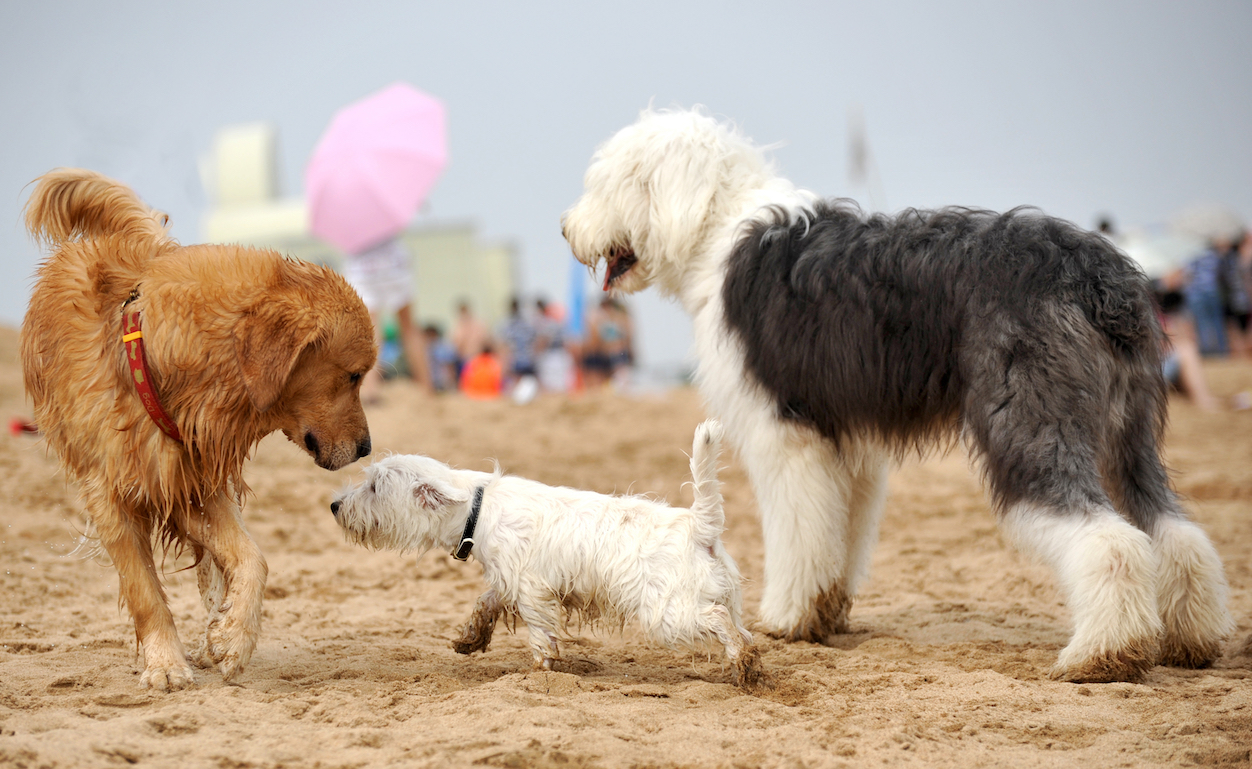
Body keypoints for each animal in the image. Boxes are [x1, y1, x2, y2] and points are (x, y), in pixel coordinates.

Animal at [22, 169, 375, 691]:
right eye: (353, 376)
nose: (367, 447)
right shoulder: (118, 492)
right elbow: (145, 590)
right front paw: (166, 663)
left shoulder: (190, 479)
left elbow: (252, 558)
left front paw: (232, 636)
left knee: (215, 560)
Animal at [330, 420, 761, 686]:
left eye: (375, 487)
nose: (335, 506)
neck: (478, 509)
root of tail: (699, 525)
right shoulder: (507, 578)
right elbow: (485, 603)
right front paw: (470, 639)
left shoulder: (531, 589)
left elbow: (540, 634)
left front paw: (538, 671)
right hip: (714, 598)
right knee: (743, 630)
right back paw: (749, 668)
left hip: (668, 613)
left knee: (720, 621)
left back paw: (743, 663)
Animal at [565, 110, 1231, 686]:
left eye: (603, 182)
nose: (566, 228)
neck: (715, 230)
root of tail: (1098, 275)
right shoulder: (849, 444)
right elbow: (839, 534)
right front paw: (824, 615)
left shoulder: (784, 434)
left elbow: (797, 532)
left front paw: (784, 618)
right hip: (1126, 431)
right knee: (1172, 529)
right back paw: (1188, 640)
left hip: (1028, 422)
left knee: (1108, 539)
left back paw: (1103, 653)